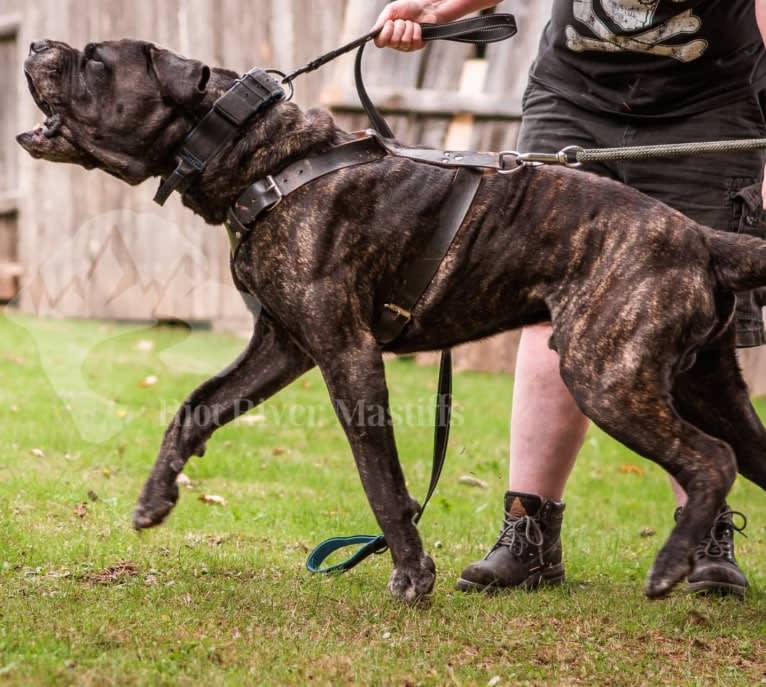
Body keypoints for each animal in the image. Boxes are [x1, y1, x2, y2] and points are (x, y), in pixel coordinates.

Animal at [18, 40, 766, 604]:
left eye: (96, 60)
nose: (35, 43)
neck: (261, 153)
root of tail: (702, 239)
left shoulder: (346, 352)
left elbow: (379, 476)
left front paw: (411, 573)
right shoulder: (281, 346)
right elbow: (196, 405)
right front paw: (155, 497)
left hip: (607, 377)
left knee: (709, 461)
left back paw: (671, 566)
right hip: (707, 388)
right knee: (739, 455)